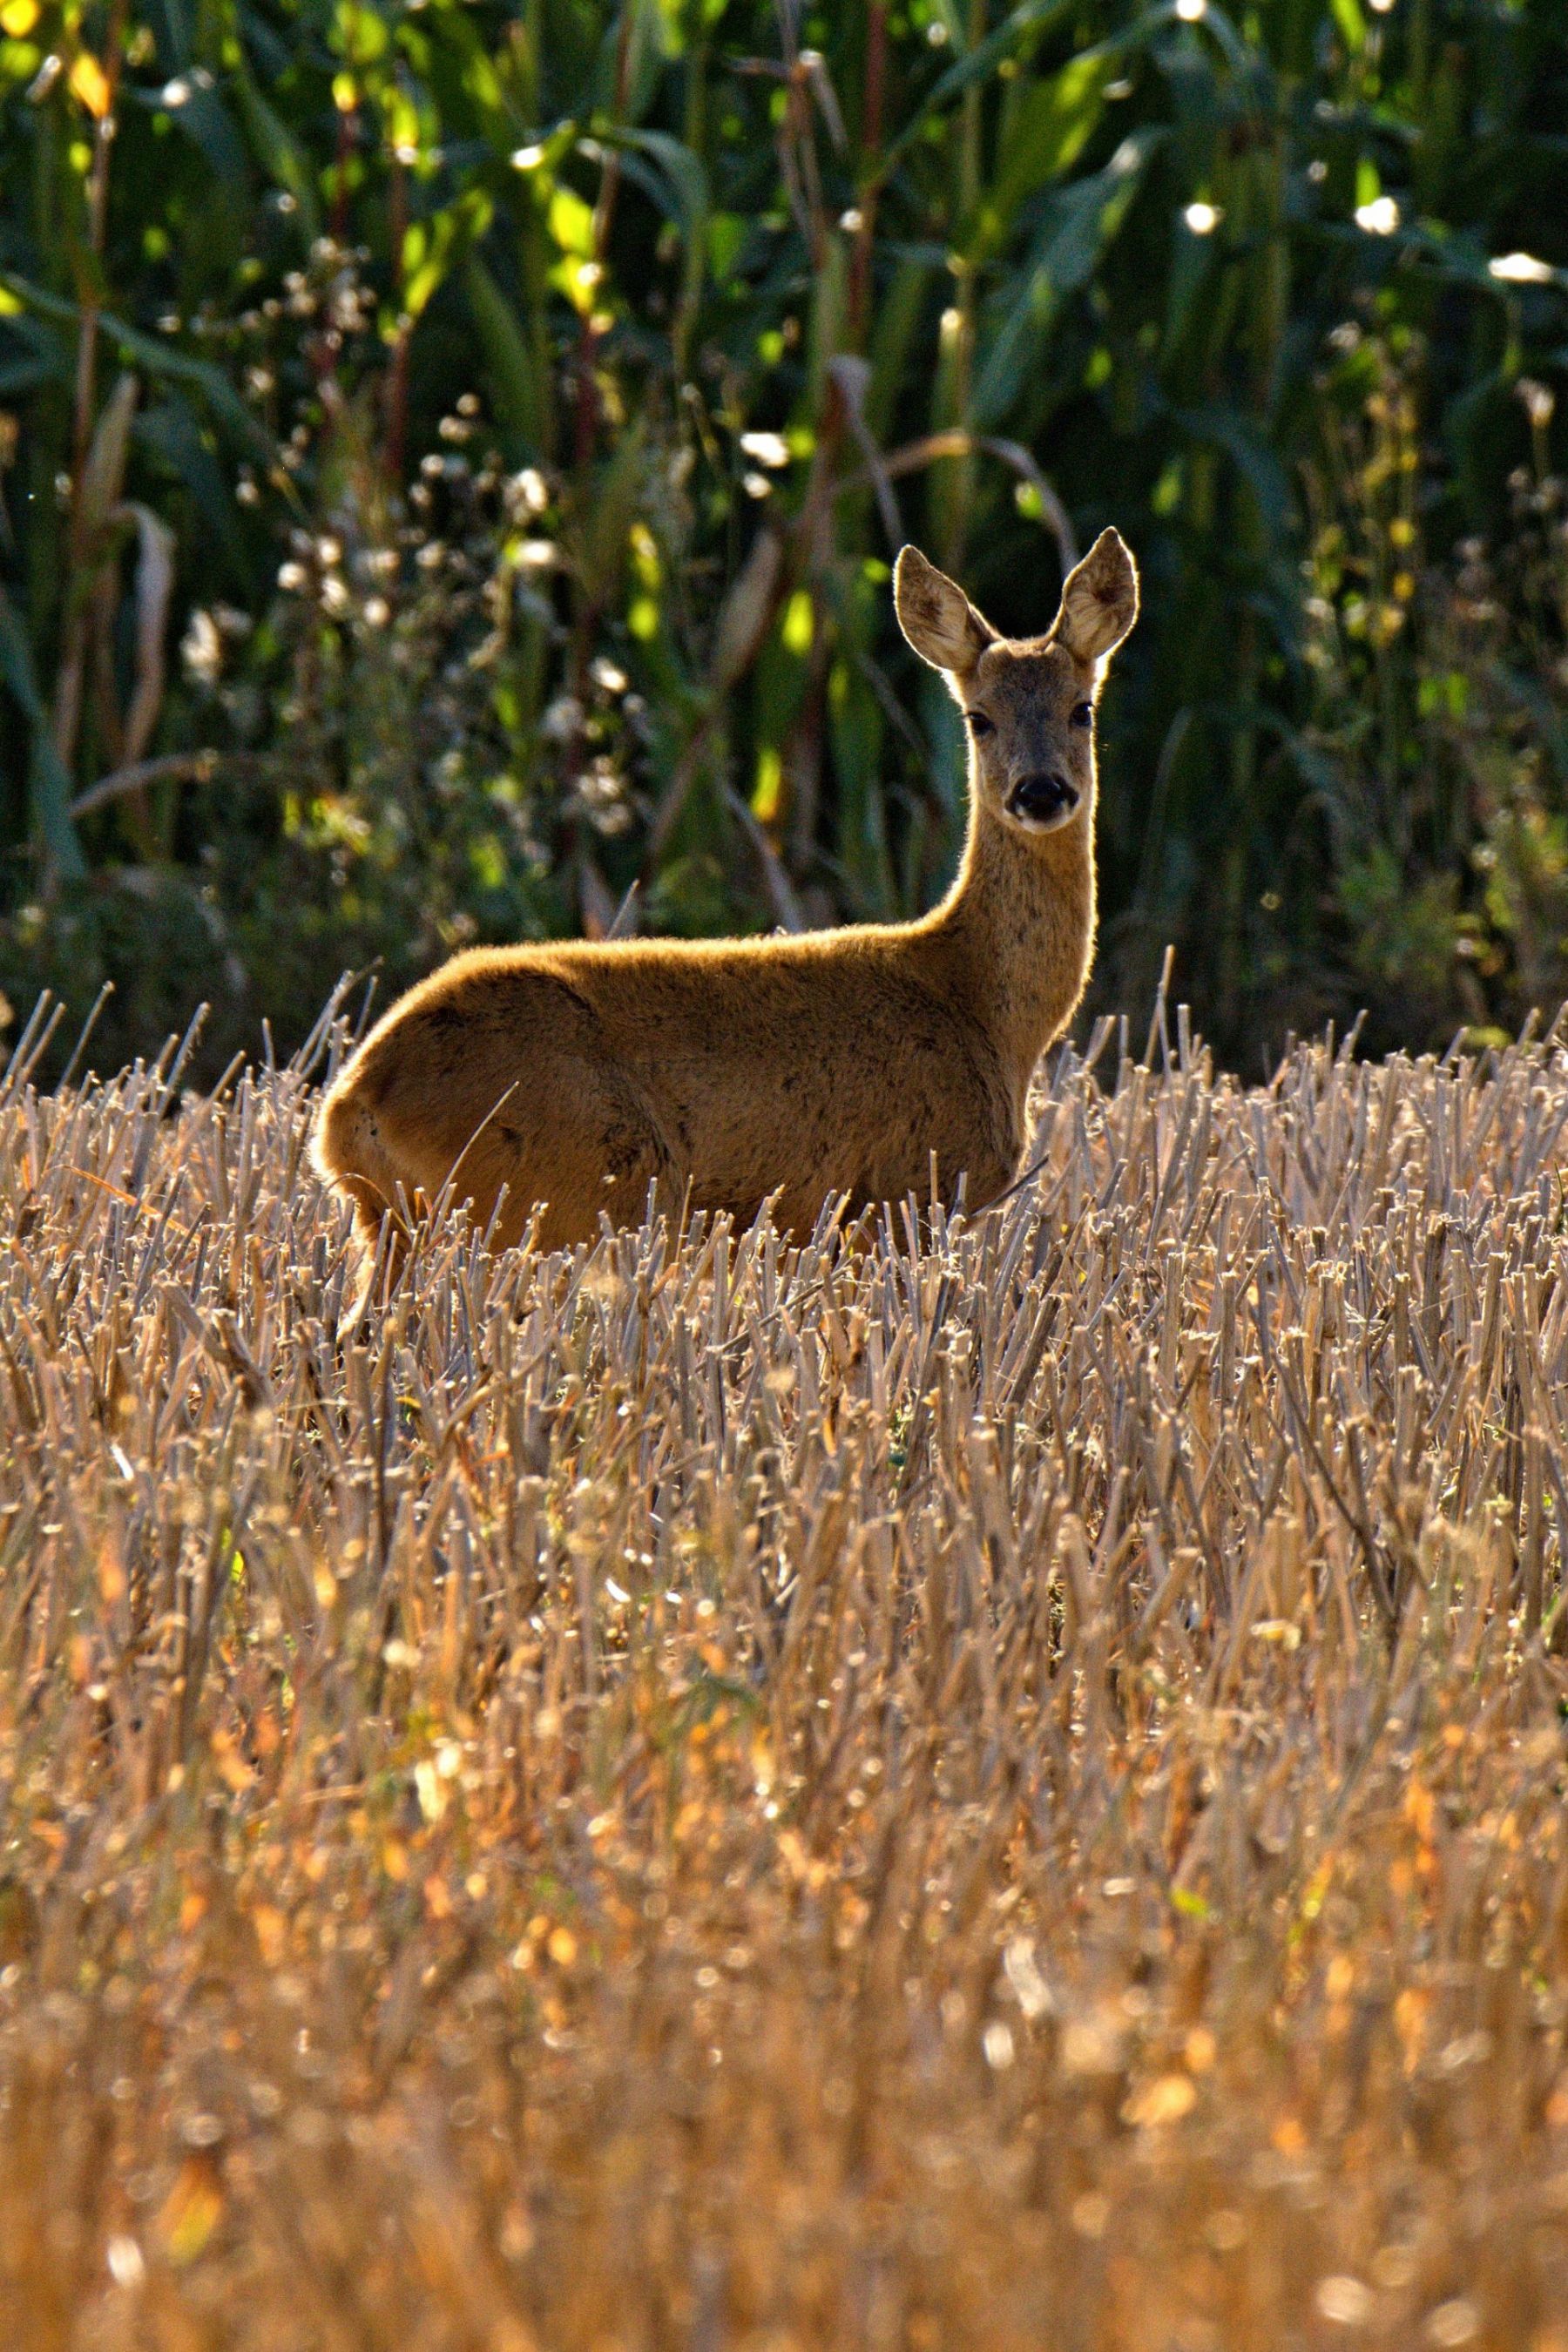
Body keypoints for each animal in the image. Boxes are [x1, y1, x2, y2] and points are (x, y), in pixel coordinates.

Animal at [312, 529, 1142, 1308]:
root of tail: (350, 1105)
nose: (1041, 792)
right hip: (546, 1202)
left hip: (398, 1223)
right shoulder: (900, 1196)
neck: (981, 1007)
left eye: (1082, 709)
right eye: (978, 719)